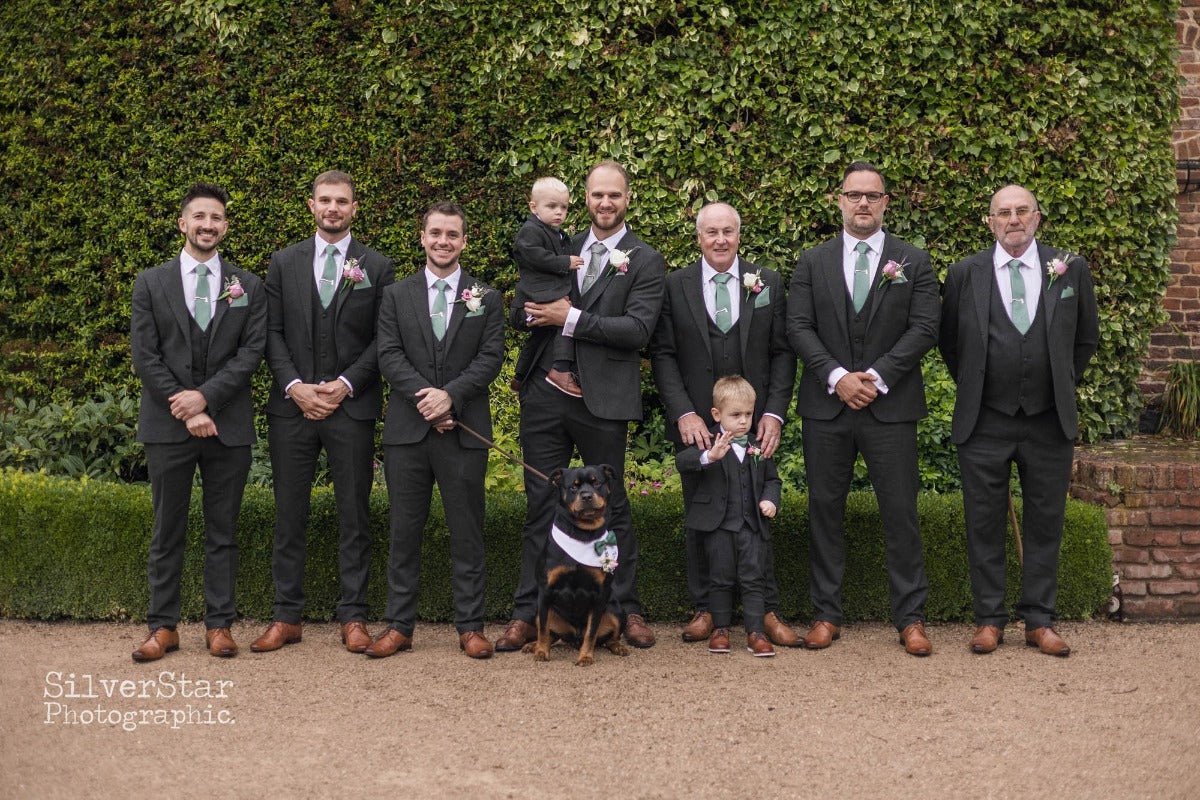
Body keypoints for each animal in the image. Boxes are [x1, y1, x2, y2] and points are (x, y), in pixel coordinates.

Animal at [528, 465, 633, 666]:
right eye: (573, 487)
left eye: (596, 483)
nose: (586, 496)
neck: (583, 533)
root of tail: (574, 638)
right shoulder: (545, 591)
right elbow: (543, 629)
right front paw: (541, 652)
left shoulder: (600, 595)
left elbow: (591, 633)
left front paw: (585, 656)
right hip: (540, 610)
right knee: (551, 634)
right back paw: (532, 645)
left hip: (616, 610)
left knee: (610, 637)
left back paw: (618, 647)